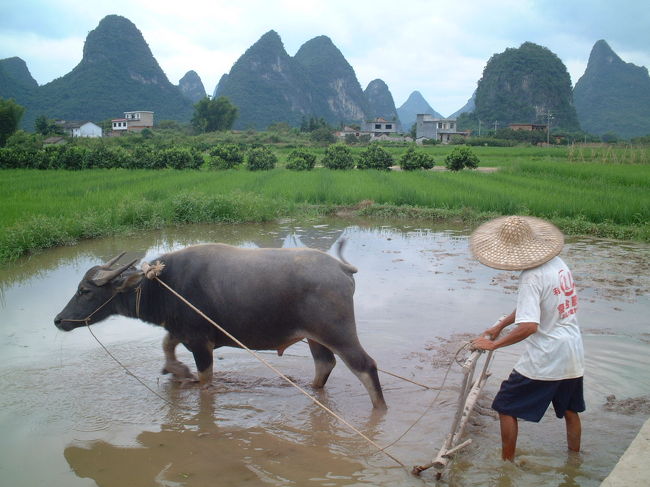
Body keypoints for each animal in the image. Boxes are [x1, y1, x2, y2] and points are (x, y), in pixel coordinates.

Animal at [54, 242, 384, 410]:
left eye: (85, 290)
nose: (58, 320)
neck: (163, 284)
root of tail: (342, 268)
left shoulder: (201, 343)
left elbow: (205, 379)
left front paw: (187, 375)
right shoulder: (182, 331)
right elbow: (167, 345)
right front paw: (177, 370)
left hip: (338, 332)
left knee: (365, 366)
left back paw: (380, 409)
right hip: (315, 337)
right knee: (324, 364)